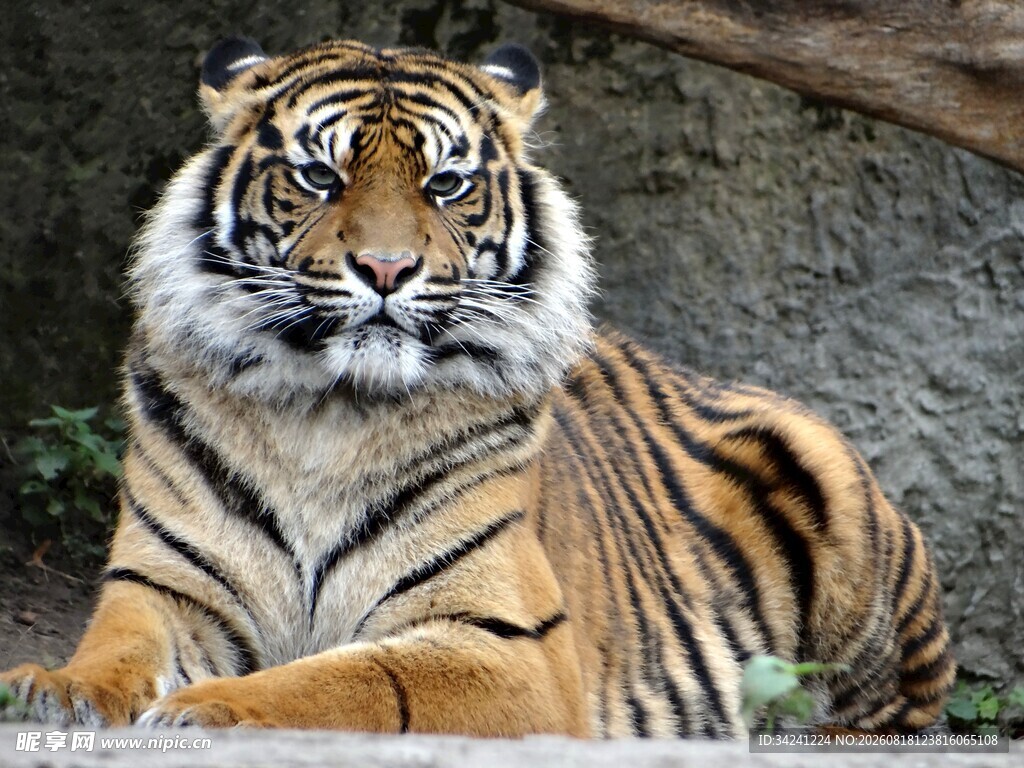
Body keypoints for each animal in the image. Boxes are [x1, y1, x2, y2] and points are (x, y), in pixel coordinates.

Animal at [0, 37, 955, 738]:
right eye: (320, 176)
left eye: (446, 184)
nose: (387, 268)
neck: (328, 414)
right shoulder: (166, 586)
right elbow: (118, 649)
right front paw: (55, 689)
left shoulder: (506, 644)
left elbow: (340, 682)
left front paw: (207, 708)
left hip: (837, 499)